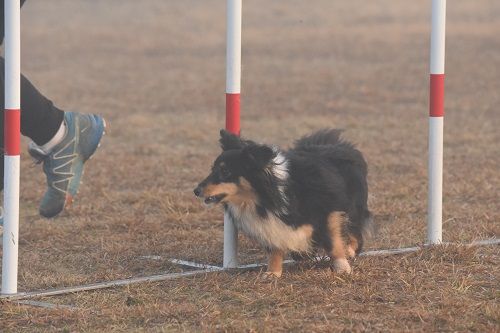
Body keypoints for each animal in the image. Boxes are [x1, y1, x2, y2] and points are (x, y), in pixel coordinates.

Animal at [195, 128, 372, 276]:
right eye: (212, 169)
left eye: (225, 171)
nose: (195, 191)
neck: (264, 199)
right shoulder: (272, 224)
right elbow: (276, 247)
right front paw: (273, 273)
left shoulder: (327, 209)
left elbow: (333, 240)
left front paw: (342, 266)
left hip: (354, 206)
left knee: (355, 231)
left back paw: (349, 251)